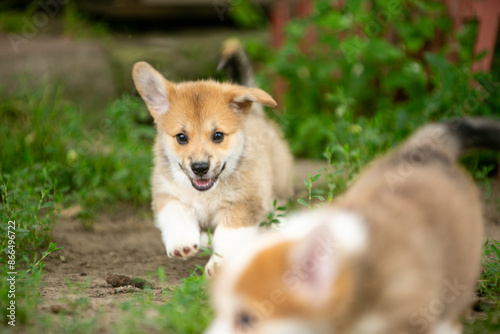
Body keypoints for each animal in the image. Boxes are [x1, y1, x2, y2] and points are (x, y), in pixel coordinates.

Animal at [133, 40, 292, 276]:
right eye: (181, 137)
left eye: (218, 136)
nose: (200, 168)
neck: (205, 195)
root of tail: (256, 115)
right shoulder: (167, 195)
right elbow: (175, 215)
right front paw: (182, 243)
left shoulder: (243, 205)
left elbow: (229, 237)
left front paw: (220, 264)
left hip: (278, 191)